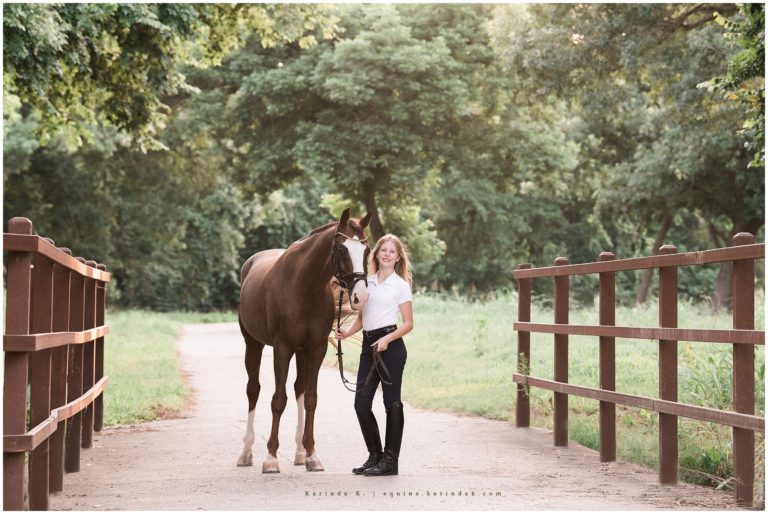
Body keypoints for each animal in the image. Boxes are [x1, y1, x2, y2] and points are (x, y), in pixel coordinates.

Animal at [237, 208, 372, 473]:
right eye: (342, 250)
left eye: (367, 250)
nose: (360, 297)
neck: (304, 286)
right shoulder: (282, 348)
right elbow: (278, 400)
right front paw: (271, 458)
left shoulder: (315, 349)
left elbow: (310, 399)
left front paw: (312, 455)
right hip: (253, 344)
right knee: (253, 390)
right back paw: (246, 452)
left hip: (300, 352)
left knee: (299, 388)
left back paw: (300, 452)